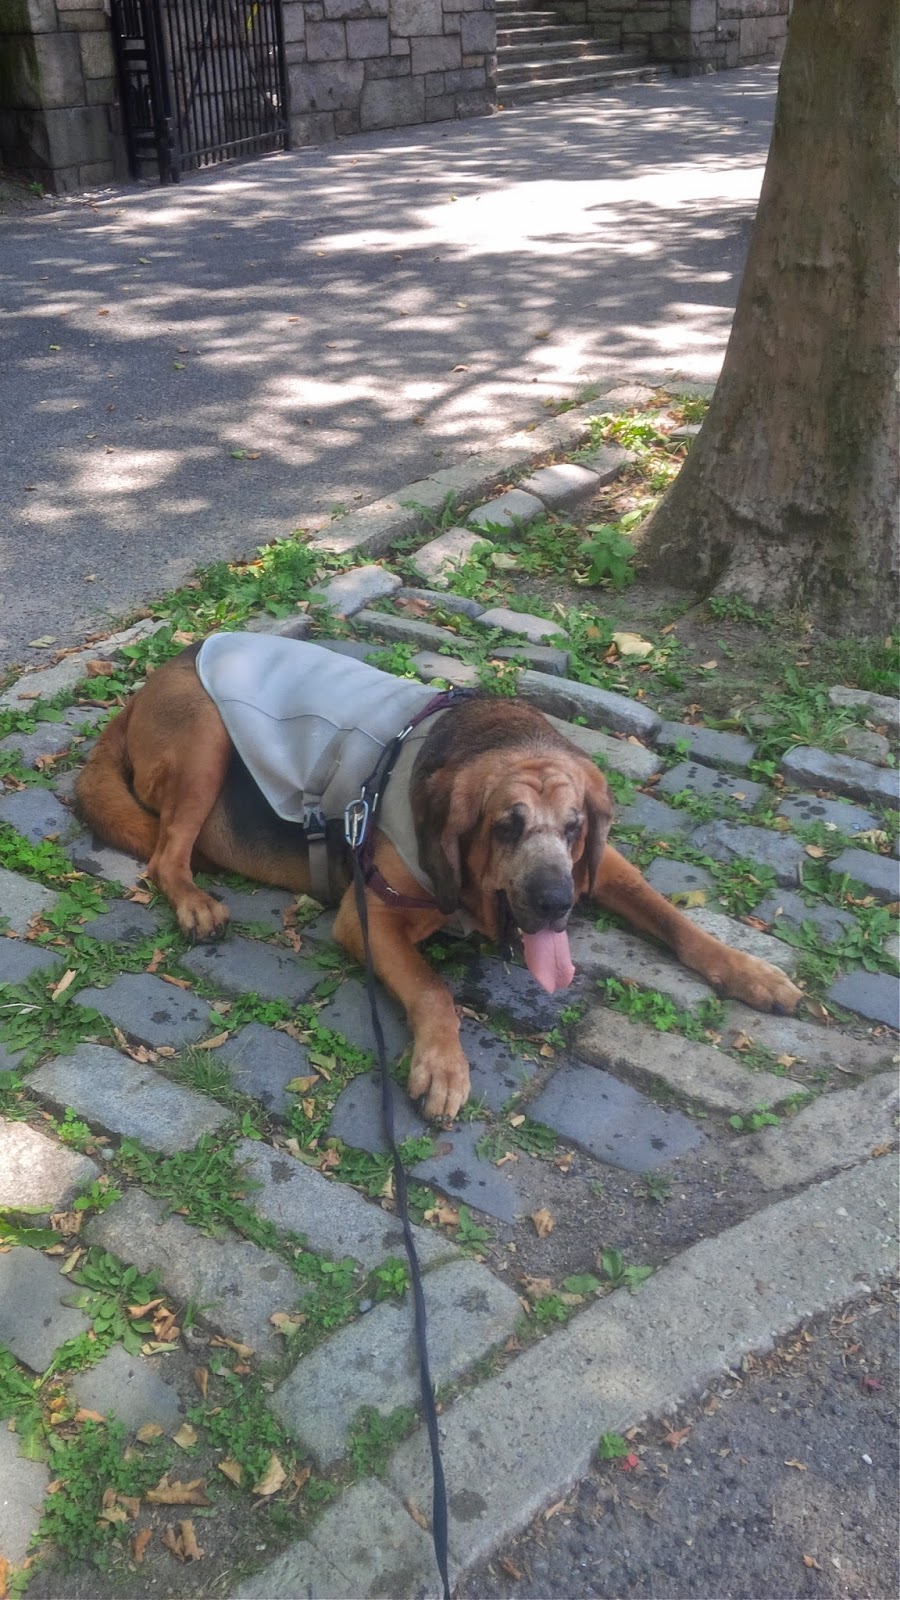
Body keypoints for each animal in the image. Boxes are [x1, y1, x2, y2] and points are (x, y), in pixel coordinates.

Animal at [74, 634, 801, 1117]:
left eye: (573, 828)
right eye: (505, 826)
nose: (555, 903)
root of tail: (150, 682)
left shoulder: (601, 866)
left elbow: (672, 916)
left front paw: (750, 972)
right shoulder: (370, 917)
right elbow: (434, 992)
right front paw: (443, 1067)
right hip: (206, 741)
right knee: (166, 855)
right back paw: (195, 902)